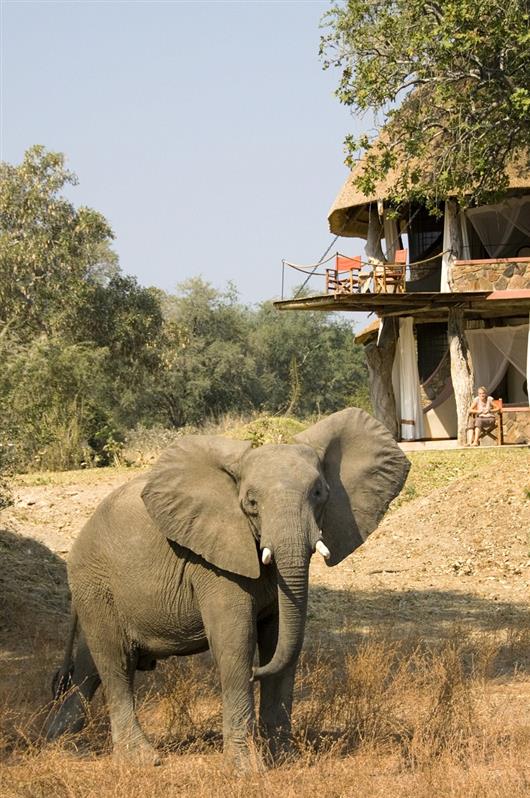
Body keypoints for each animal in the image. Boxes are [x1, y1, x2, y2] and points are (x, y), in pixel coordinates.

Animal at [46, 410, 408, 772]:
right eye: (251, 502)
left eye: (320, 493)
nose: (255, 673)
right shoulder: (212, 560)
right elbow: (236, 641)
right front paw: (246, 770)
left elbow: (282, 639)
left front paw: (284, 760)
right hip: (95, 583)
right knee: (115, 662)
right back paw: (142, 760)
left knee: (88, 668)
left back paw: (61, 745)